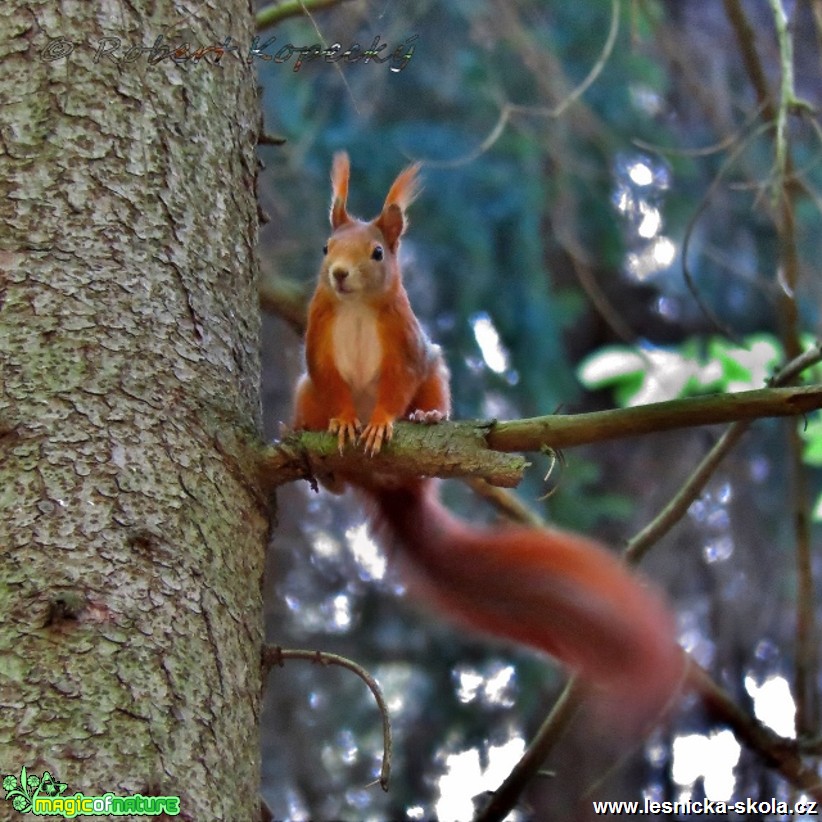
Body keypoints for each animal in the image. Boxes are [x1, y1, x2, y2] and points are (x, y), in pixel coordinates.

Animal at [292, 154, 684, 732]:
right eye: (325, 248)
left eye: (378, 253)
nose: (338, 274)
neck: (355, 306)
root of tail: (390, 486)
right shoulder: (317, 347)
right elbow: (331, 385)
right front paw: (344, 421)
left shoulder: (408, 348)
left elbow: (398, 385)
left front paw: (383, 421)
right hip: (304, 397)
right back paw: (315, 451)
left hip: (436, 371)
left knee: (428, 394)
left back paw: (428, 416)